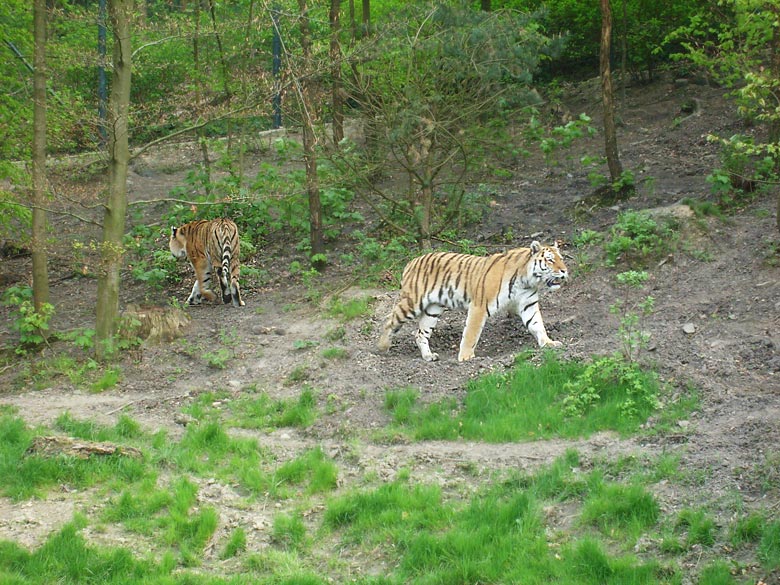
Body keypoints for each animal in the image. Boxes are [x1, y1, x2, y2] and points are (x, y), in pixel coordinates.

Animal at [378, 238, 568, 360]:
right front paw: (466, 357)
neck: (527, 280)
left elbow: (537, 325)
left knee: (420, 333)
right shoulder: (479, 306)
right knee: (389, 320)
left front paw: (549, 343)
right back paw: (382, 348)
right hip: (412, 302)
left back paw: (428, 356)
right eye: (550, 260)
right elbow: (471, 333)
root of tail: (411, 262)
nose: (564, 271)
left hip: (433, 309)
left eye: (561, 259)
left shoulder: (528, 304)